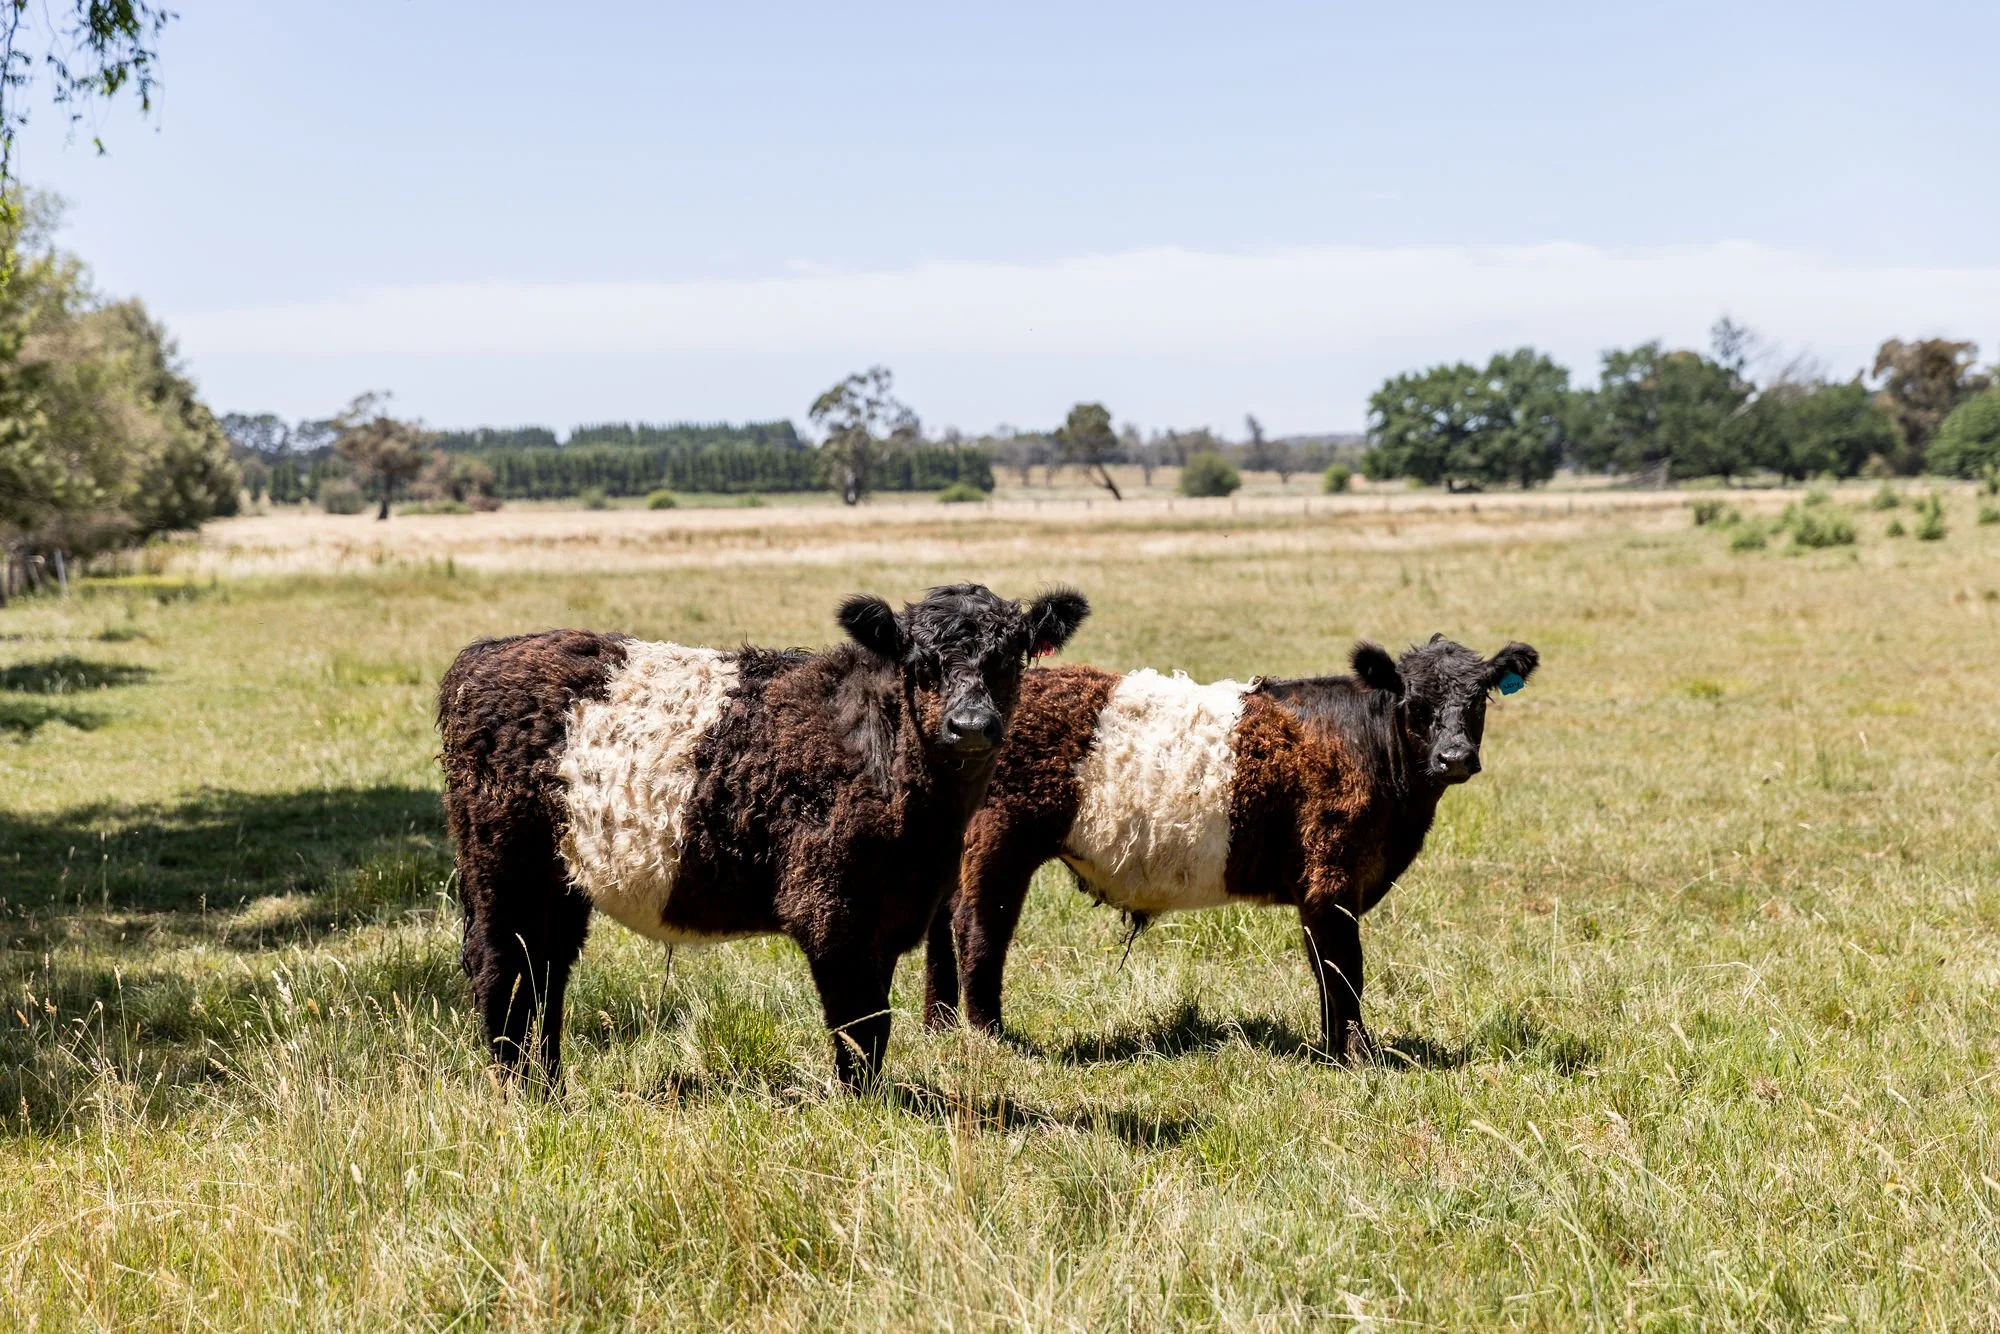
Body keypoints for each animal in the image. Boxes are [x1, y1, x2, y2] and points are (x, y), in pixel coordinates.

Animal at [437, 583, 1090, 1091]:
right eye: (919, 662)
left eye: (1008, 659)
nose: (970, 725)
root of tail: (486, 654)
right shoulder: (832, 908)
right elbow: (859, 1023)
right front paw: (862, 1109)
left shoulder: (889, 915)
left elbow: (876, 1017)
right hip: (502, 864)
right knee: (501, 964)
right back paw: (518, 1090)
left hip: (563, 877)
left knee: (545, 967)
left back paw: (549, 1085)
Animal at [921, 635, 1539, 1061]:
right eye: (1414, 700)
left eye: (1479, 698)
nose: (1454, 757)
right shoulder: (1331, 880)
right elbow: (1344, 970)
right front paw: (1356, 1056)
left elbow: (1327, 973)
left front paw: (1332, 1051)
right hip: (998, 841)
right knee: (979, 927)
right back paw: (988, 1036)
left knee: (942, 922)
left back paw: (939, 1025)